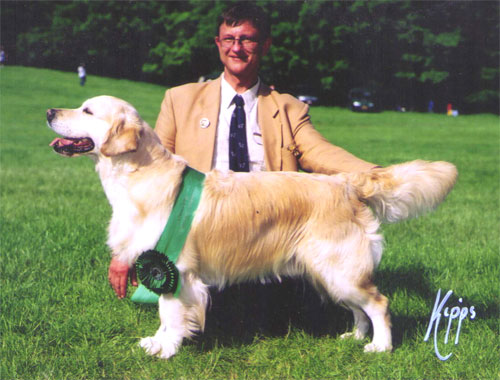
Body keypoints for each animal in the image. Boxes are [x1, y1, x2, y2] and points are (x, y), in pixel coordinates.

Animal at [47, 95, 458, 360]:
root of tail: (346, 182)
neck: (138, 174)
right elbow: (165, 313)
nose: (50, 111)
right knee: (359, 309)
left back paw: (380, 347)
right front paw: (157, 342)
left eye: (87, 110)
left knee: (379, 303)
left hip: (338, 267)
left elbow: (171, 312)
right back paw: (354, 337)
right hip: (328, 270)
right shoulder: (162, 265)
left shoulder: (176, 268)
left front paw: (166, 349)